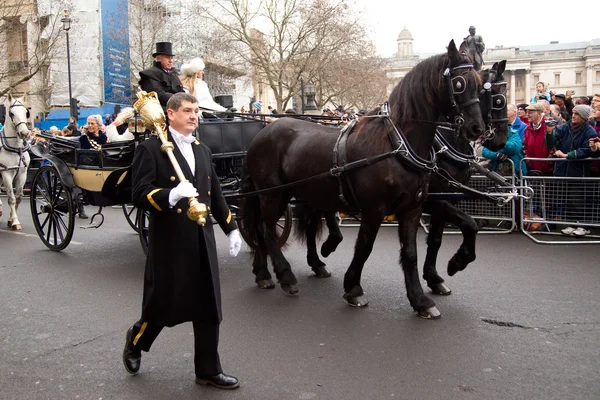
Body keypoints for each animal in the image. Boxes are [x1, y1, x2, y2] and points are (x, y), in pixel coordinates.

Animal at [238, 39, 482, 318]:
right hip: (273, 194)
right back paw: (285, 276)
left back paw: (264, 274)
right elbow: (364, 247)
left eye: (480, 83)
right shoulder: (375, 209)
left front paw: (421, 299)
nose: (477, 129)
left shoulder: (413, 208)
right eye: (459, 83)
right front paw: (353, 288)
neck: (397, 144)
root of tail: (261, 133)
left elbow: (411, 253)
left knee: (263, 230)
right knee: (266, 230)